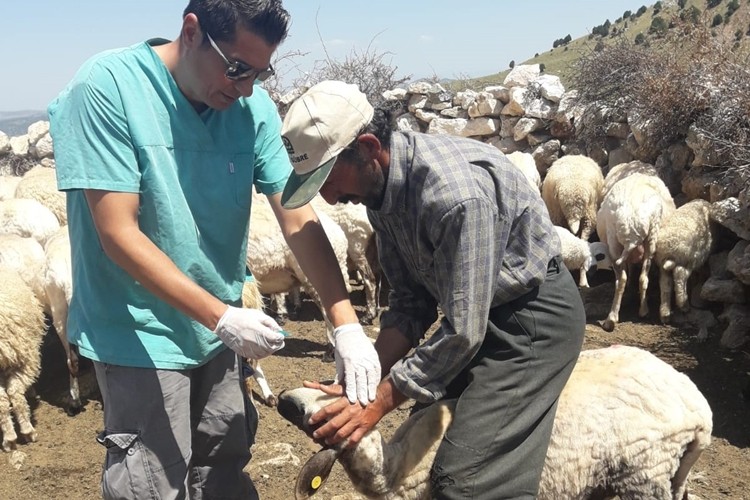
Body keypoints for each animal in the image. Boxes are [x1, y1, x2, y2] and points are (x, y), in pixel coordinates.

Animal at [280, 346, 712, 500]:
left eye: (313, 419)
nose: (285, 399)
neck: (394, 470)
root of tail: (700, 412)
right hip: (663, 475)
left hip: (643, 473)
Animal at [596, 172, 680, 332]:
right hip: (652, 237)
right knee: (644, 277)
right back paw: (645, 310)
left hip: (613, 240)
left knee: (622, 279)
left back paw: (612, 318)